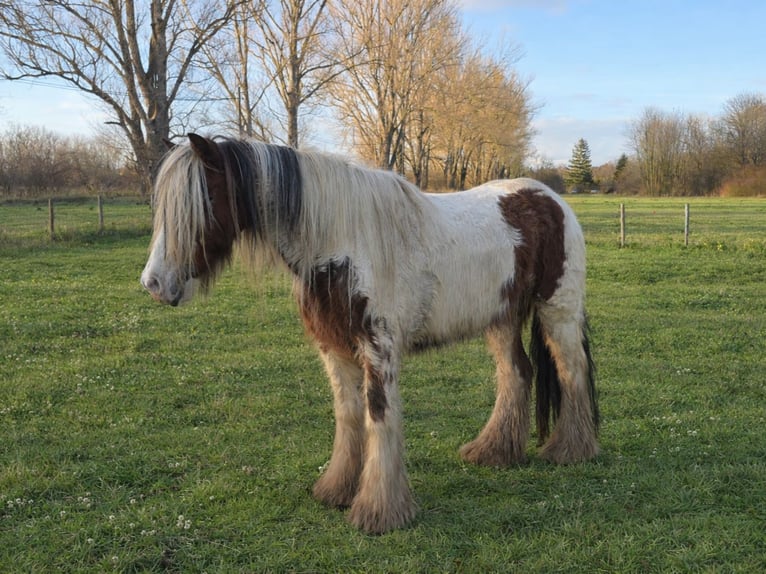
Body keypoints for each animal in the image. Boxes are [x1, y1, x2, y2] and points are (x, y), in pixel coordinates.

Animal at [140, 133, 599, 534]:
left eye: (203, 201)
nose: (154, 284)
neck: (339, 246)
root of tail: (550, 198)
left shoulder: (379, 350)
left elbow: (378, 414)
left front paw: (379, 511)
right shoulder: (335, 350)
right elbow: (348, 415)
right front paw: (337, 490)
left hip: (557, 311)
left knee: (572, 371)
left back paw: (572, 450)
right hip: (501, 319)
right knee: (516, 373)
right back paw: (494, 452)